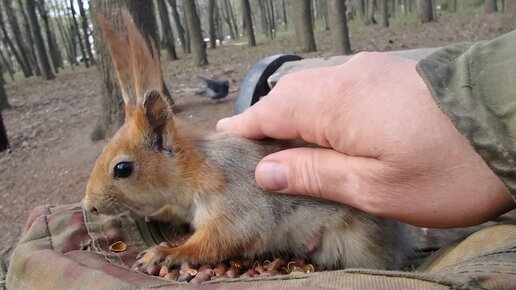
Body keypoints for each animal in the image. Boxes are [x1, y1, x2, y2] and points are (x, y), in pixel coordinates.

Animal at [84, 9, 416, 272]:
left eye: (123, 169)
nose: (89, 206)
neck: (194, 168)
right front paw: (157, 214)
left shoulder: (236, 201)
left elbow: (221, 240)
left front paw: (166, 253)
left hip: (361, 242)